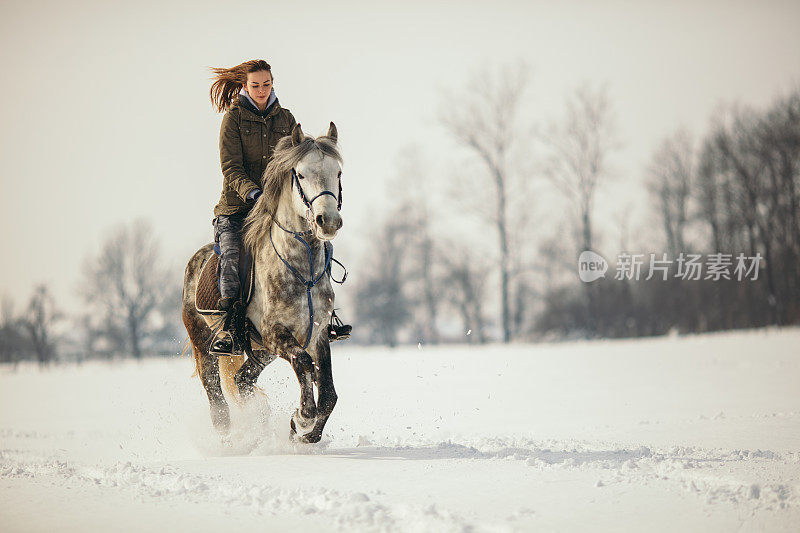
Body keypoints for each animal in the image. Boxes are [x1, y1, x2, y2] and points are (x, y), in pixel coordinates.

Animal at [183, 122, 346, 442]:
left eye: (337, 173)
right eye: (301, 174)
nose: (328, 221)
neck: (303, 272)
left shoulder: (317, 334)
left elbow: (329, 394)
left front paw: (304, 434)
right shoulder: (274, 333)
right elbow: (304, 364)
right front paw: (302, 418)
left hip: (260, 352)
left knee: (242, 379)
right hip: (204, 343)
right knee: (215, 393)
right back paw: (228, 437)